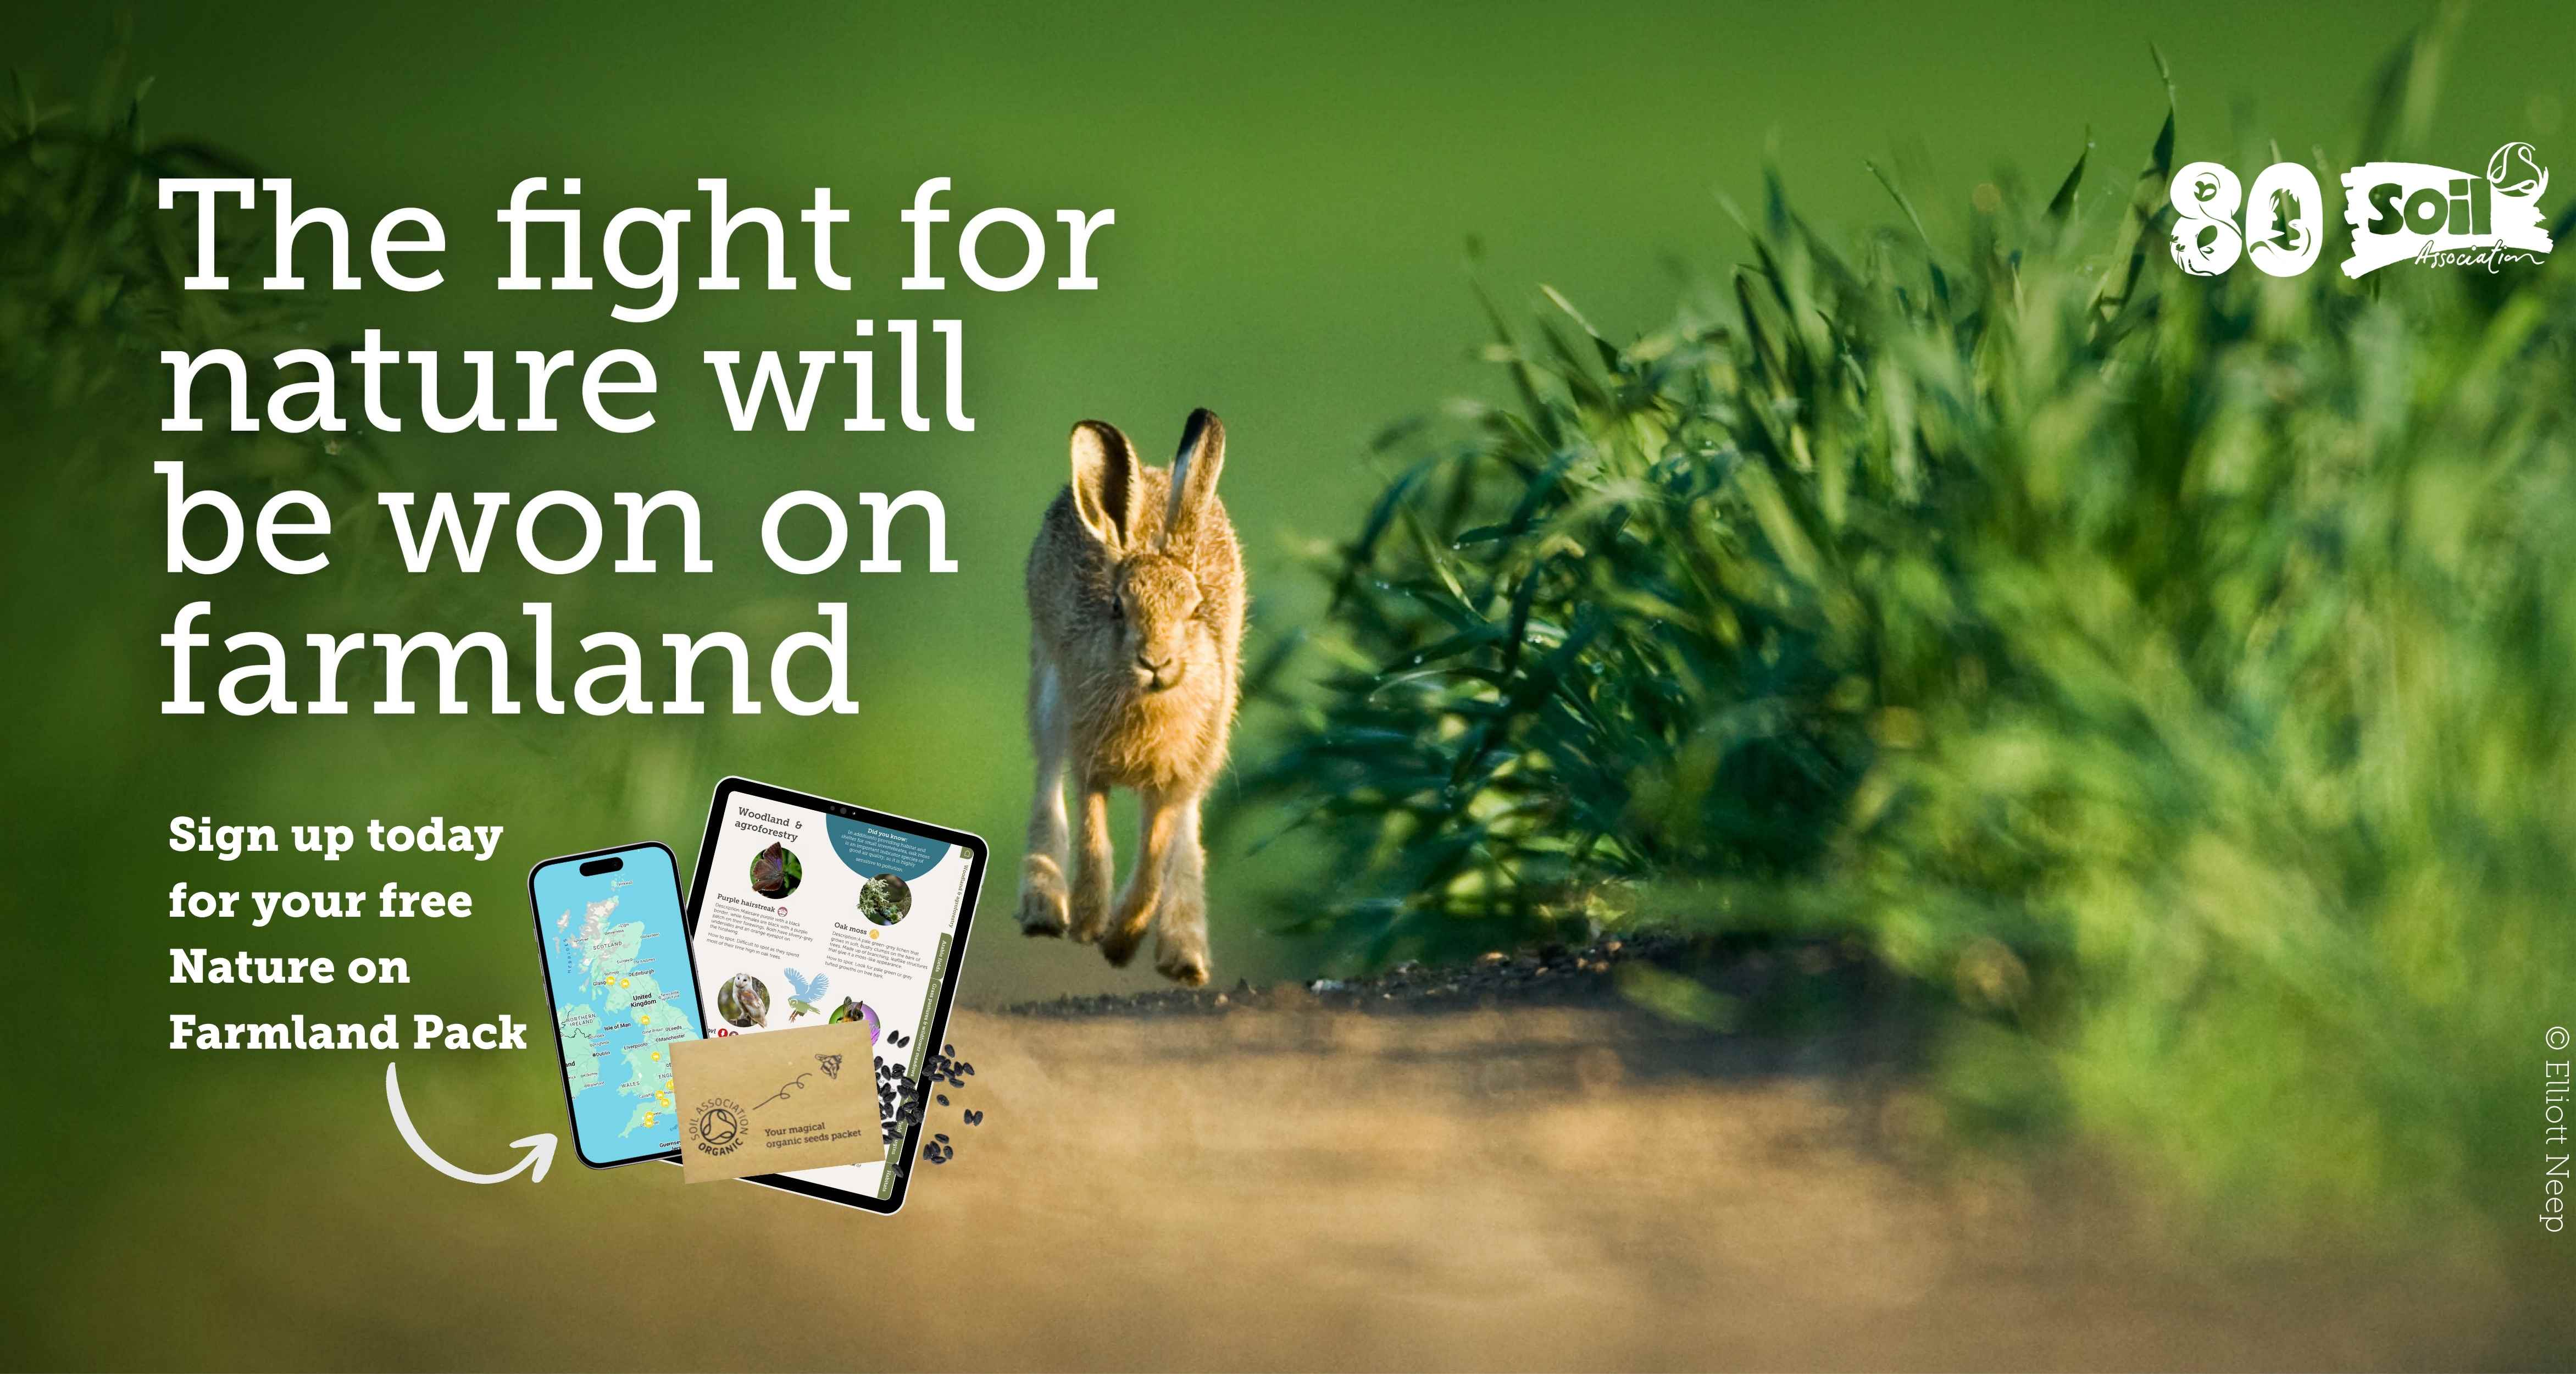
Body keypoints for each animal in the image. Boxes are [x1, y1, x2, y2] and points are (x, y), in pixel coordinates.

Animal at [1015, 409, 1243, 986]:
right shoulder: (1089, 759)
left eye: (1194, 609)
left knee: (1184, 835)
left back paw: (1184, 954)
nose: (1156, 662)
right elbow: (1094, 836)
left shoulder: (1174, 778)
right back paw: (1044, 910)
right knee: (1047, 778)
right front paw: (1089, 923)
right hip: (1049, 693)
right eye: (1117, 608)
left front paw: (1121, 941)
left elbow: (1154, 860)